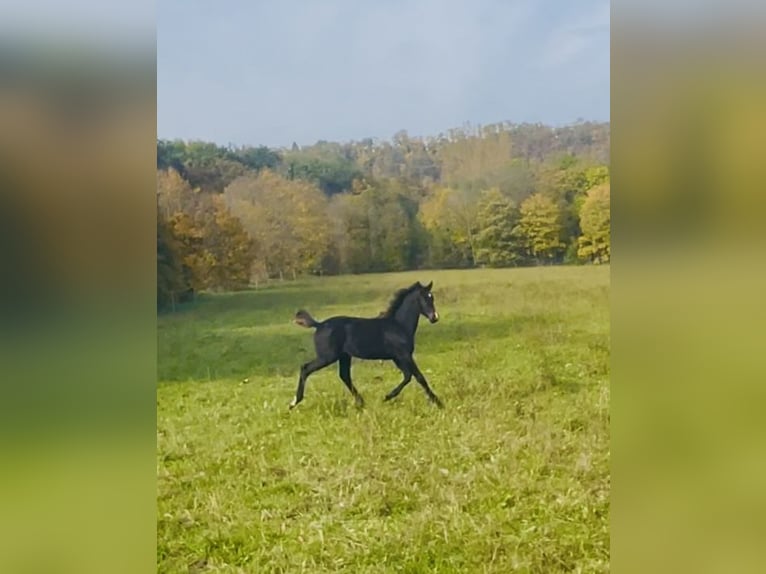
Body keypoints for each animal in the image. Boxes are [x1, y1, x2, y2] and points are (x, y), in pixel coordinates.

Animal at [292, 282, 444, 410]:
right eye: (424, 299)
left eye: (432, 298)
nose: (434, 317)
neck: (399, 325)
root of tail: (319, 324)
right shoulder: (404, 355)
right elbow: (419, 377)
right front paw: (439, 403)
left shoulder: (397, 357)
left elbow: (408, 376)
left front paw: (387, 397)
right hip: (327, 357)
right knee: (305, 368)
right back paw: (294, 402)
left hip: (344, 356)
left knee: (344, 376)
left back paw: (361, 402)